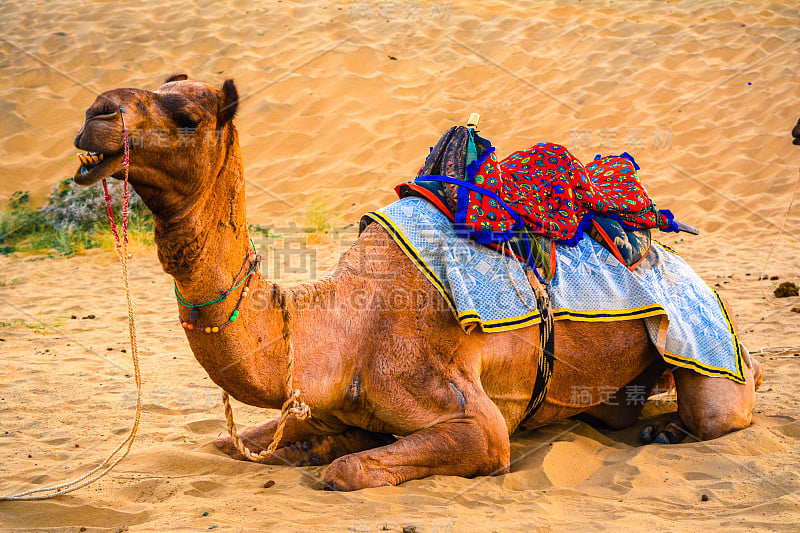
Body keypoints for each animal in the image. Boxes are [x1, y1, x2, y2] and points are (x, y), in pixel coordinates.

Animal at [73, 75, 764, 490]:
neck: (338, 331)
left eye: (188, 116)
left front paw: (331, 455)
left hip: (705, 345)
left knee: (723, 404)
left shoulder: (475, 420)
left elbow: (348, 472)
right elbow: (229, 441)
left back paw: (671, 428)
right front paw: (317, 443)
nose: (95, 113)